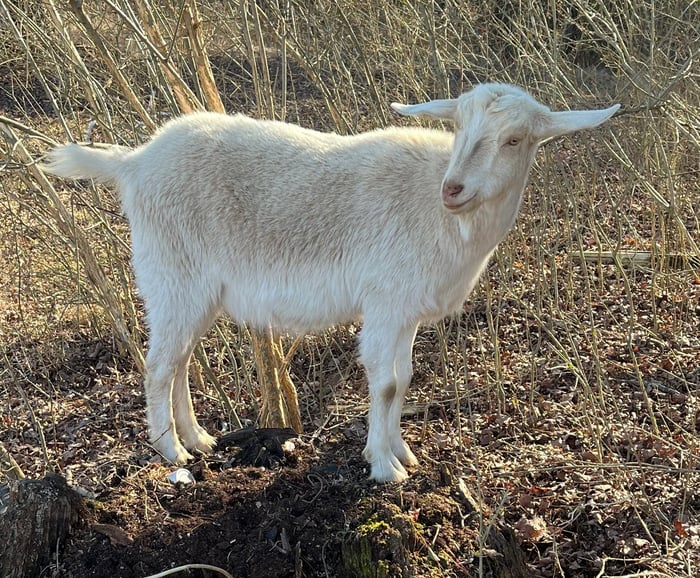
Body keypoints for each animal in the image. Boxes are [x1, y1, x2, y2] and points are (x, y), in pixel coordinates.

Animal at [43, 83, 619, 482]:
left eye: (515, 140)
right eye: (457, 127)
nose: (452, 189)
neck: (437, 212)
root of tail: (134, 162)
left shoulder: (404, 309)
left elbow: (405, 378)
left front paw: (401, 451)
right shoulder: (385, 300)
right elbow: (385, 383)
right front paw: (385, 468)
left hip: (193, 290)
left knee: (179, 360)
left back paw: (200, 439)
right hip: (172, 272)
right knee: (159, 364)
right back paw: (173, 451)